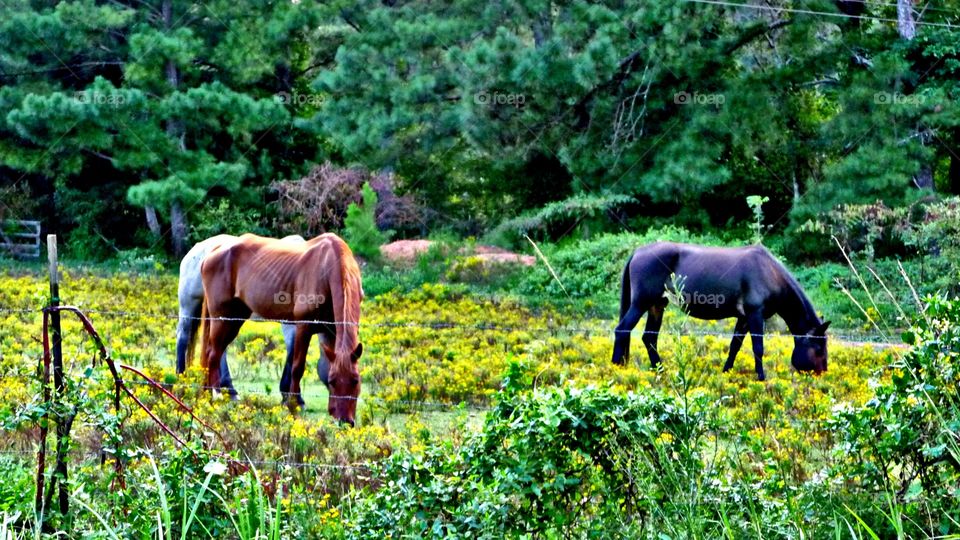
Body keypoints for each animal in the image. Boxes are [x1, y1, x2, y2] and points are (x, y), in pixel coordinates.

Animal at [176, 234, 330, 405]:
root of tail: (196, 249)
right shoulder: (291, 324)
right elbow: (292, 353)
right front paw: (293, 398)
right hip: (190, 305)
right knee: (183, 337)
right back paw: (182, 379)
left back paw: (229, 390)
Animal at [195, 233, 364, 425]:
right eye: (333, 381)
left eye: (355, 380)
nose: (345, 421)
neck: (328, 265)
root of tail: (212, 253)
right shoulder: (304, 327)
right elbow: (298, 368)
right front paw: (293, 406)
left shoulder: (331, 331)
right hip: (221, 318)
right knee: (213, 355)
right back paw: (215, 396)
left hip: (234, 319)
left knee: (212, 352)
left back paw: (207, 394)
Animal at [611, 242, 830, 381]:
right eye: (819, 349)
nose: (823, 374)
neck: (769, 273)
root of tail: (637, 252)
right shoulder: (755, 315)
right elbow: (758, 348)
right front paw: (761, 378)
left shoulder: (743, 318)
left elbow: (735, 346)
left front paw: (726, 372)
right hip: (641, 303)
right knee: (622, 330)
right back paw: (616, 367)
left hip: (657, 305)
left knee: (649, 338)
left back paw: (660, 371)